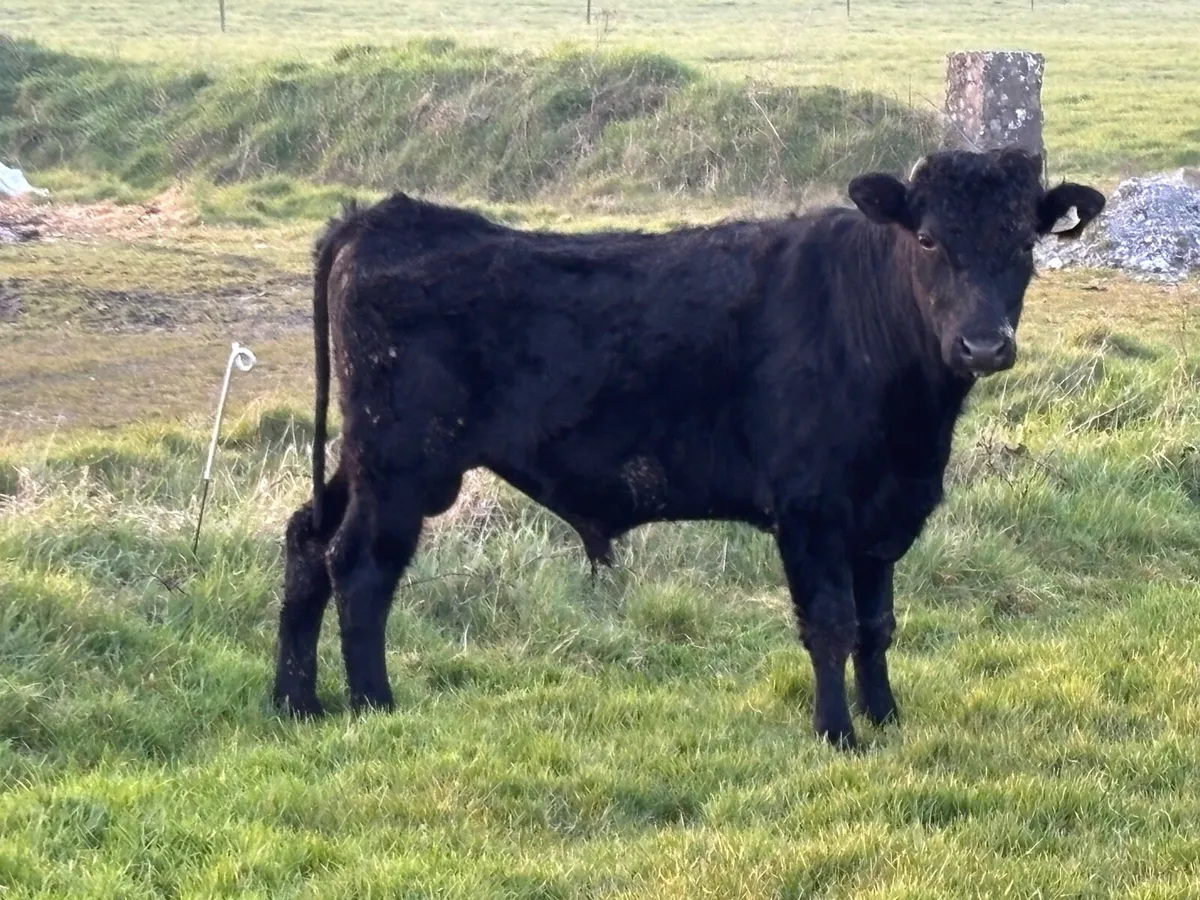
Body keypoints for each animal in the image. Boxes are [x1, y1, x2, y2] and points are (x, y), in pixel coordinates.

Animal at [271, 147, 1105, 749]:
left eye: (1024, 242)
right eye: (927, 237)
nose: (984, 344)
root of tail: (380, 219)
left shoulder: (882, 515)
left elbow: (877, 626)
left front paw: (887, 718)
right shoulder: (811, 510)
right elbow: (831, 623)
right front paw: (837, 733)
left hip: (366, 458)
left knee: (307, 540)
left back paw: (296, 703)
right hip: (401, 466)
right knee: (360, 567)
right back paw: (373, 704)